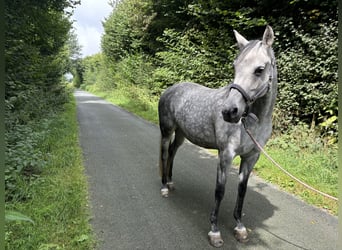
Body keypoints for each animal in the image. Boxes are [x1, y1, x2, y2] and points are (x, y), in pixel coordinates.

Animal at [158, 26, 278, 247]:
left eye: (259, 69)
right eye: (235, 66)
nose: (229, 111)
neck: (254, 122)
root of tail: (171, 89)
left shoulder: (251, 157)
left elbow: (242, 190)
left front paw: (239, 227)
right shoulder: (226, 155)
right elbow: (220, 191)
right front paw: (214, 231)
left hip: (181, 134)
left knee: (172, 153)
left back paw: (170, 182)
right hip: (166, 131)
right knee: (163, 154)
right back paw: (164, 187)